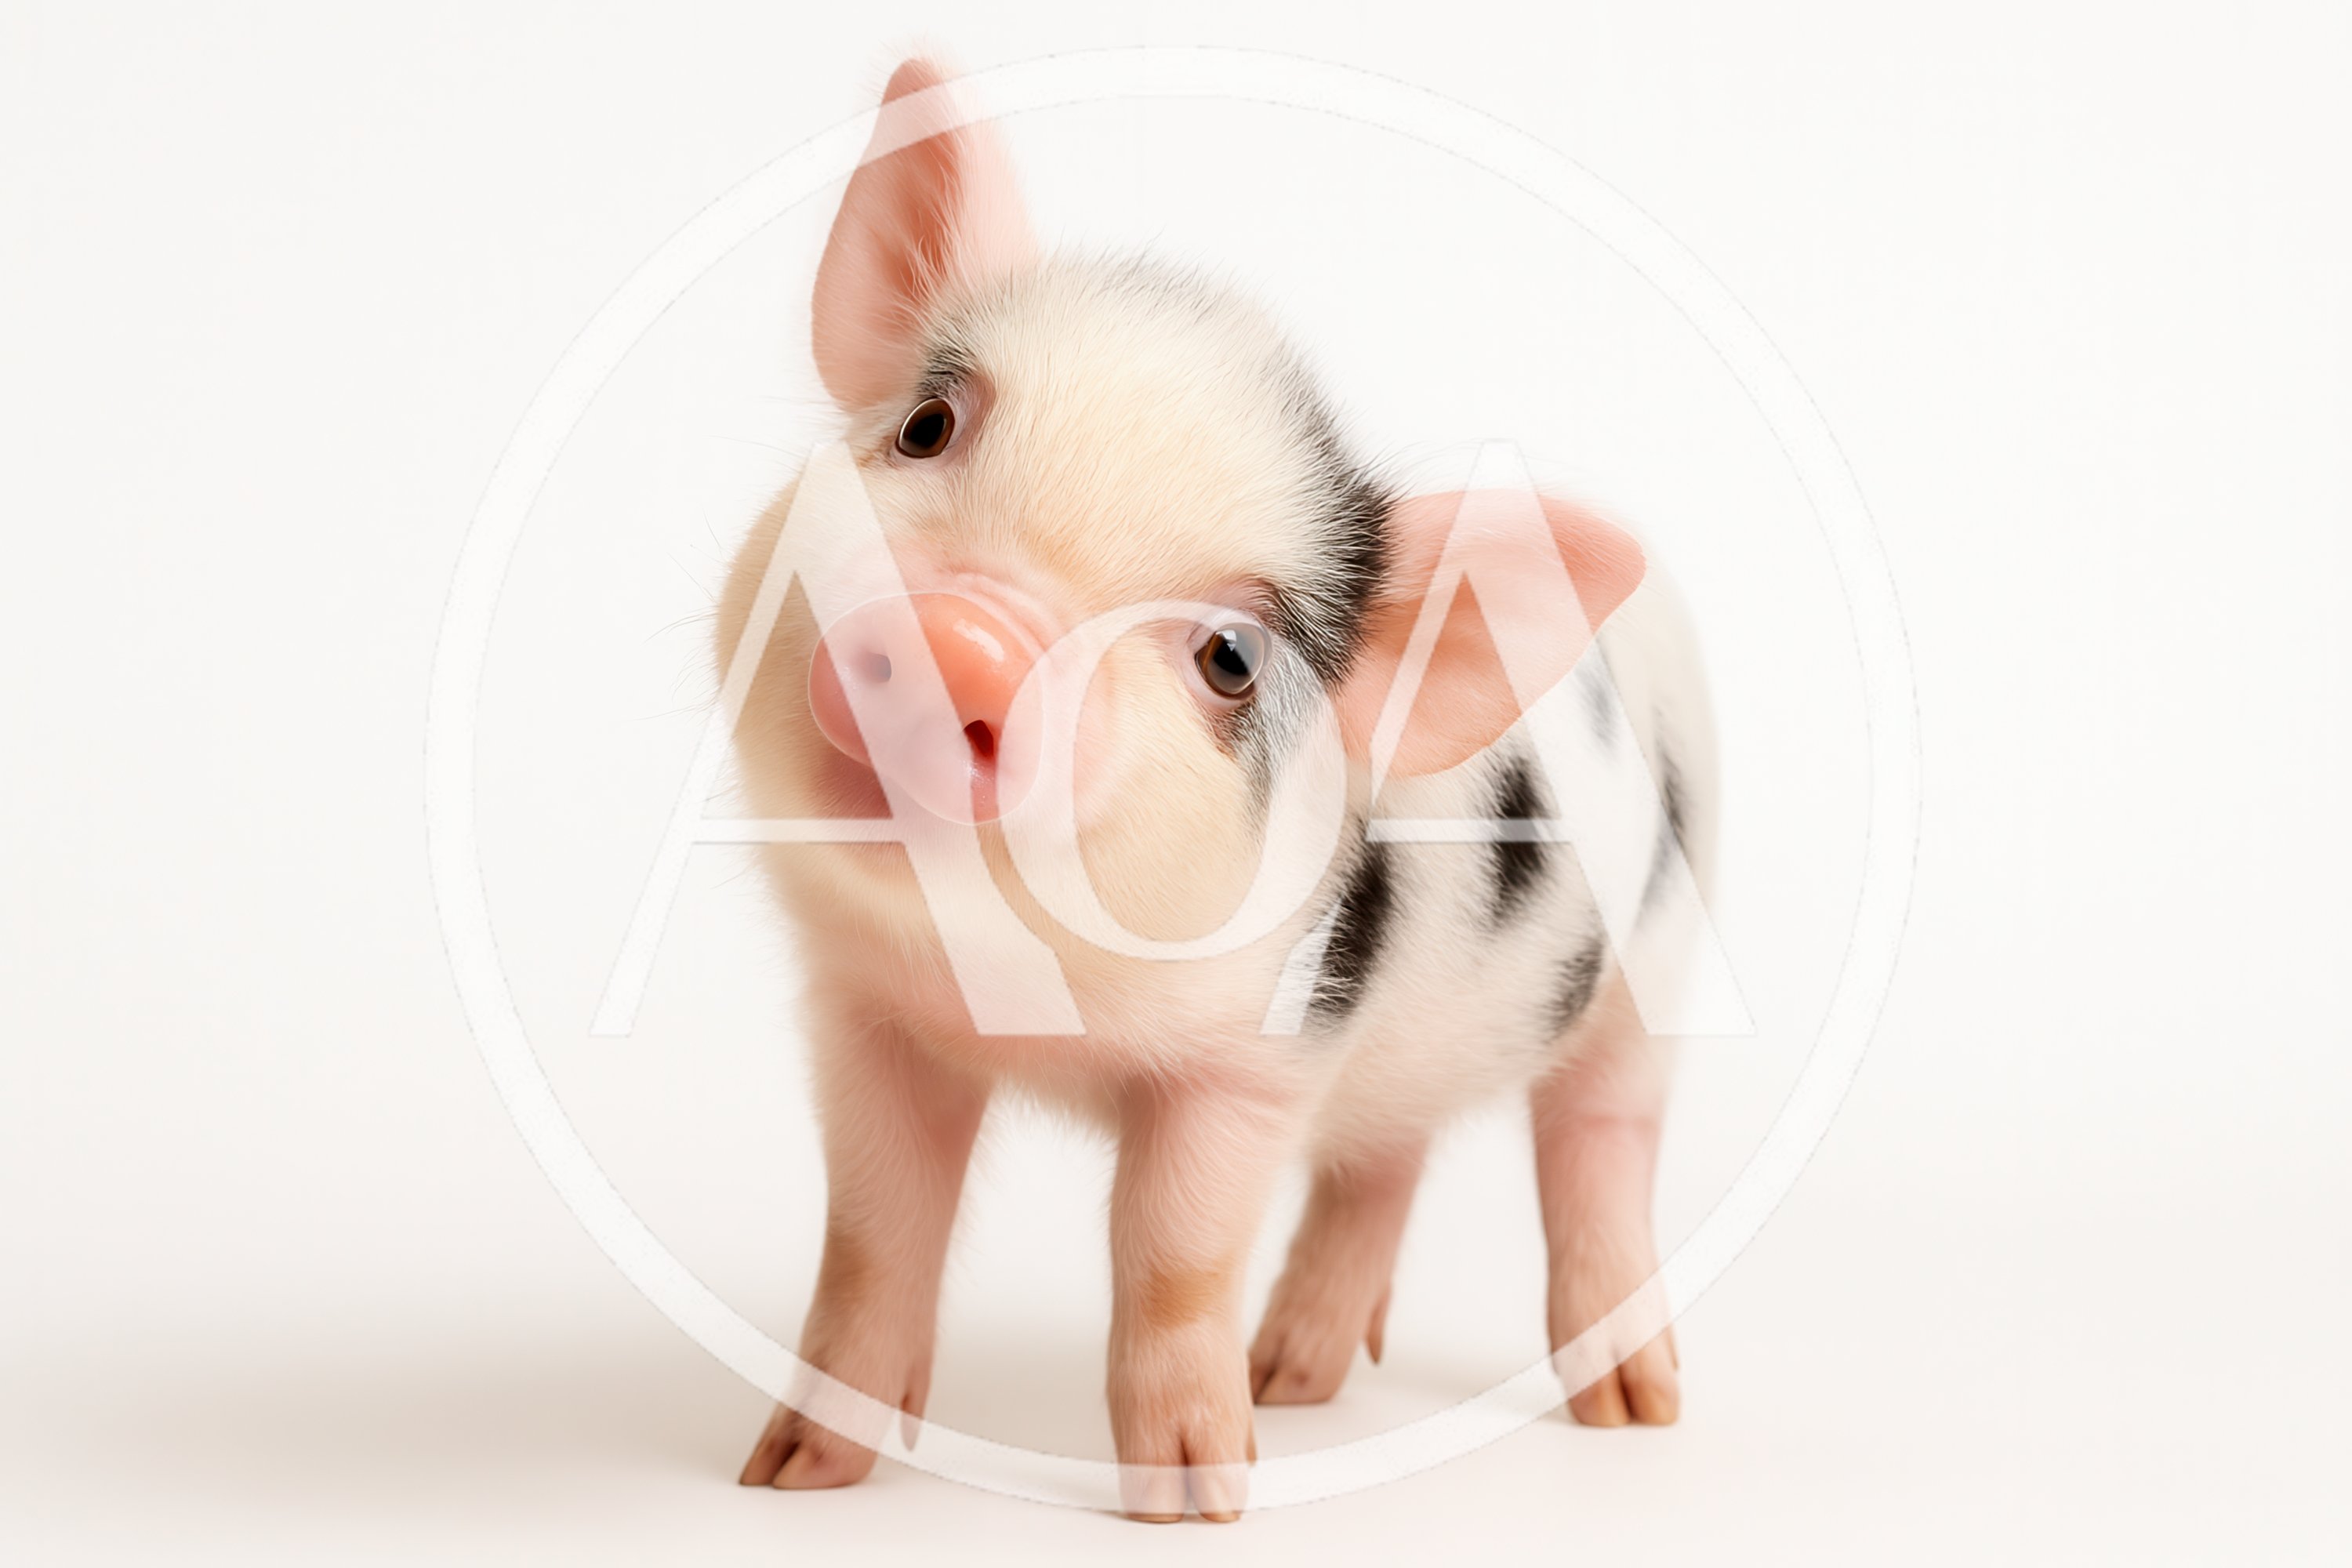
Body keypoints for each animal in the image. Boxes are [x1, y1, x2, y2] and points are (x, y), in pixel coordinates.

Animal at [719, 59, 1716, 1521]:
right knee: (1384, 1162)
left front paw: (1196, 1502)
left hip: (1654, 969)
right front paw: (792, 1474)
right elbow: (873, 1229)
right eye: (925, 426)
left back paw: (1634, 1411)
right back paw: (1297, 1377)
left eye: (1231, 658)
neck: (1017, 1001)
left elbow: (1173, 1254)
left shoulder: (1254, 1058)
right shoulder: (868, 1019)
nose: (968, 634)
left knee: (1602, 1147)